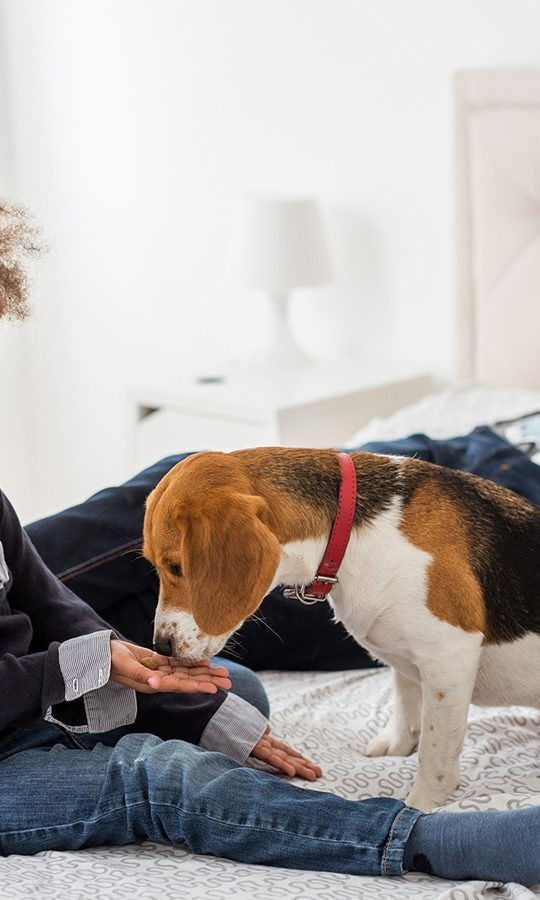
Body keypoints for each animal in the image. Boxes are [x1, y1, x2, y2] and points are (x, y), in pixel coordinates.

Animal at [142, 446, 540, 812]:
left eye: (177, 567)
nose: (161, 646)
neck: (351, 533)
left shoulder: (447, 657)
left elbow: (435, 752)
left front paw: (422, 804)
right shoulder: (409, 655)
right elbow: (406, 698)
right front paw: (398, 744)